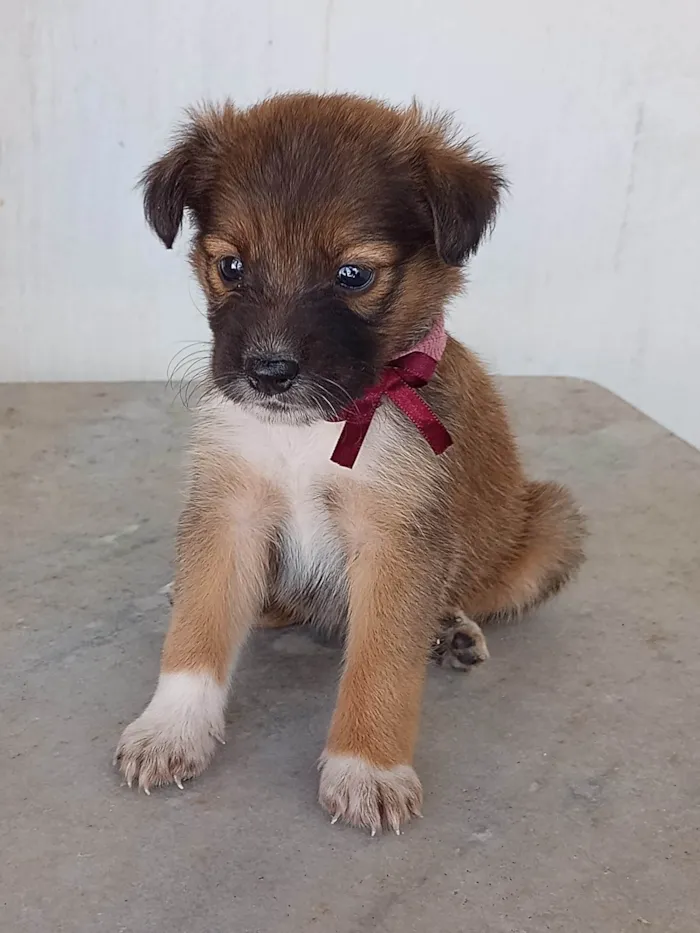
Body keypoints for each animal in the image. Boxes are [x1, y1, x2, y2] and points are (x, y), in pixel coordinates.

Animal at [115, 93, 584, 832]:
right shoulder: (229, 509)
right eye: (231, 266)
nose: (268, 373)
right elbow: (198, 629)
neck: (315, 429)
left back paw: (451, 630)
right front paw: (171, 728)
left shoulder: (395, 537)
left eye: (353, 275)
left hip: (552, 525)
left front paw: (369, 768)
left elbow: (382, 662)